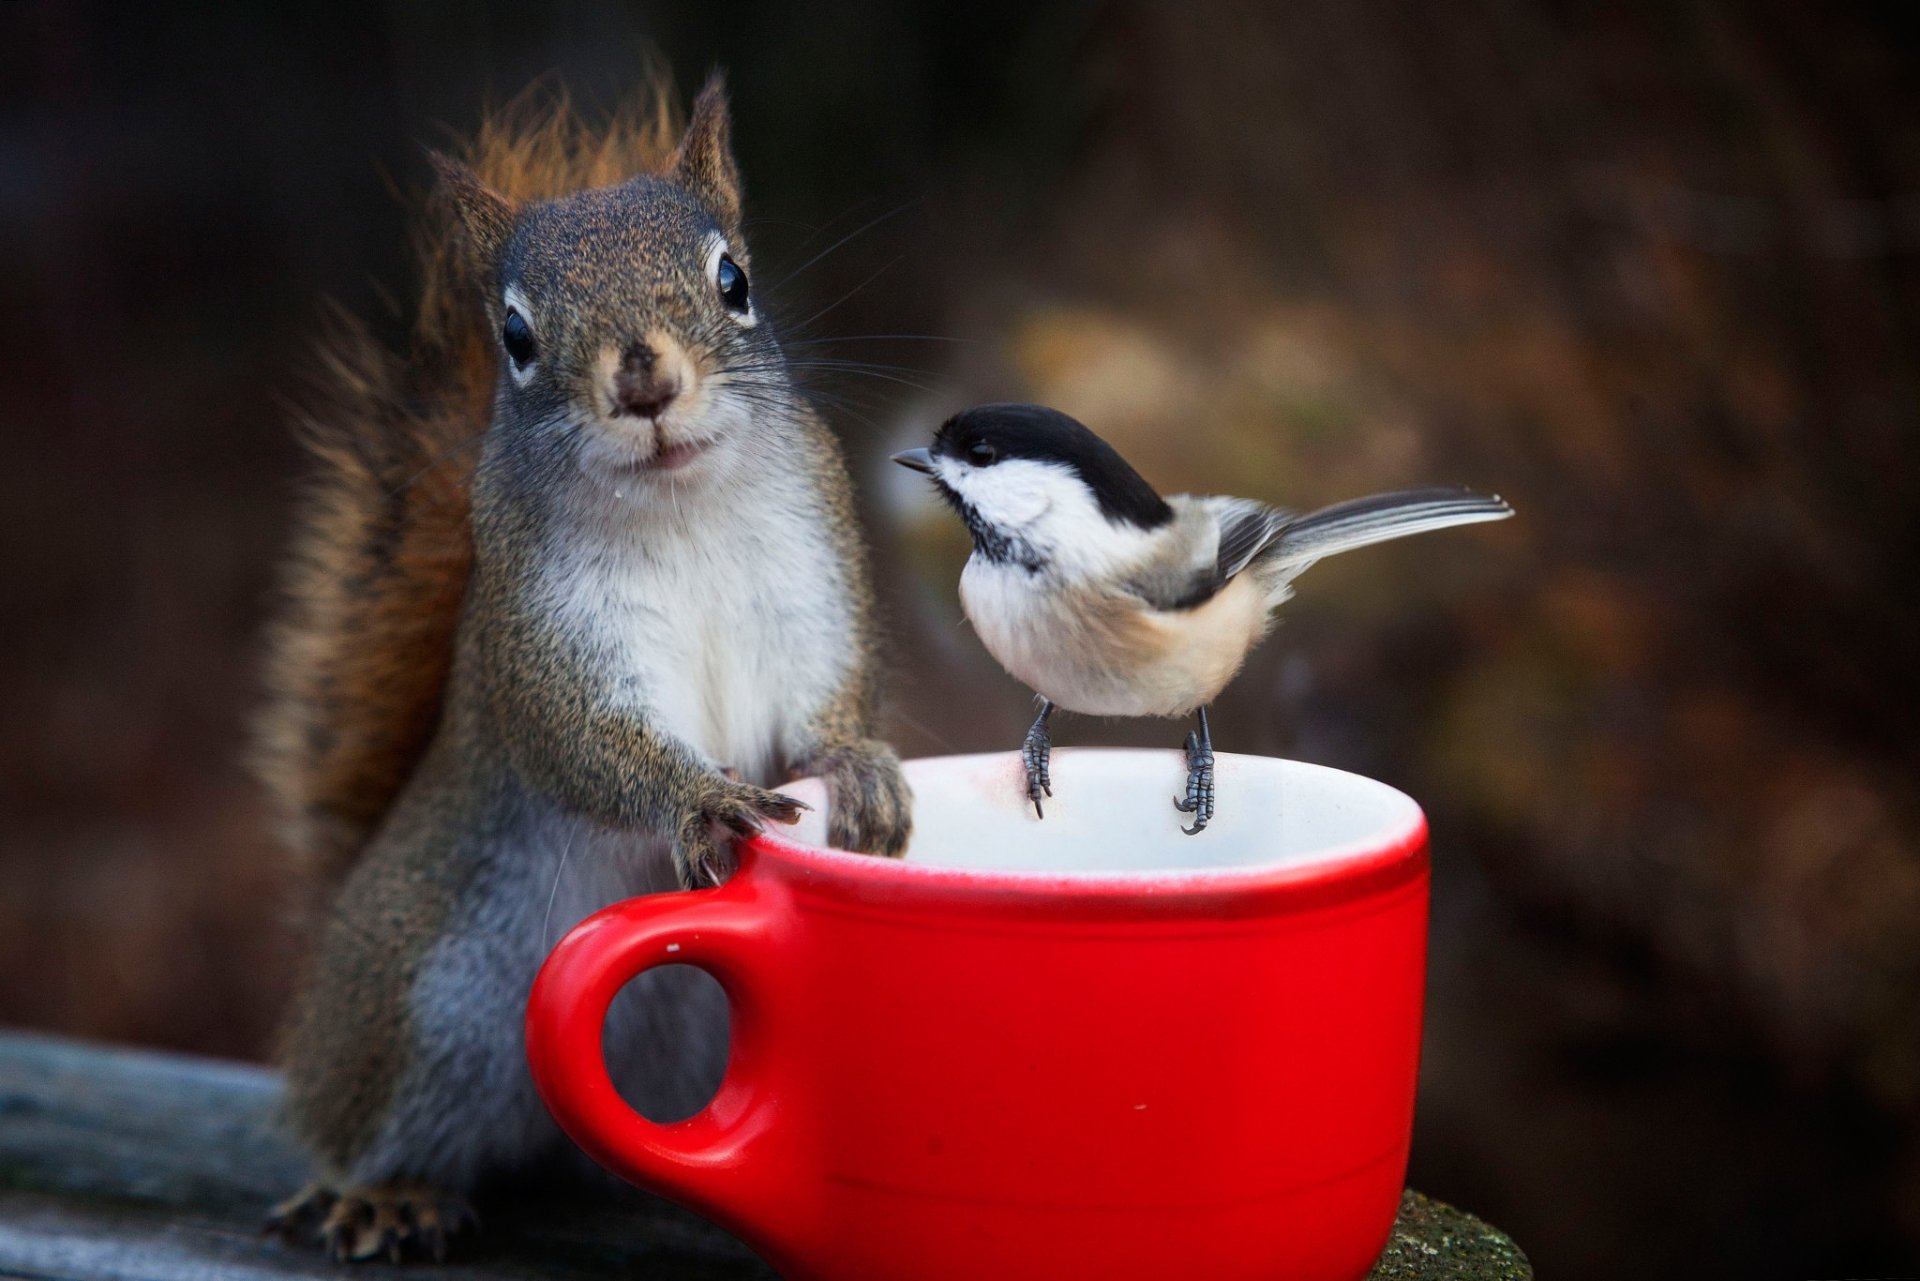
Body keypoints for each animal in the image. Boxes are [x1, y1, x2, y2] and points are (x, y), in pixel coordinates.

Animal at [253, 74, 913, 1262]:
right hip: (415, 995)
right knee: (356, 1118)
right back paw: (379, 1192)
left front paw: (855, 766)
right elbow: (584, 744)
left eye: (735, 280)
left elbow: (828, 703)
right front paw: (697, 799)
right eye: (515, 335)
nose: (644, 378)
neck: (680, 504)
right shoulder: (542, 641)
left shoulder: (816, 589)